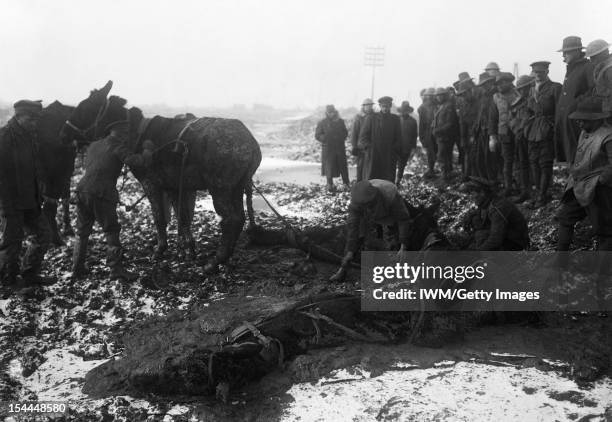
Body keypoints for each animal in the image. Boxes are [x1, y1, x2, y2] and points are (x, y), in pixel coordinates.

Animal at [62, 94, 260, 272]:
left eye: (85, 107)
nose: (63, 134)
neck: (136, 133)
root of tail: (249, 141)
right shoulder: (175, 186)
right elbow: (183, 218)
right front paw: (188, 250)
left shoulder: (151, 184)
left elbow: (159, 218)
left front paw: (161, 250)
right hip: (237, 188)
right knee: (239, 219)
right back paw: (224, 257)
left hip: (220, 189)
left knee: (231, 220)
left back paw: (215, 261)